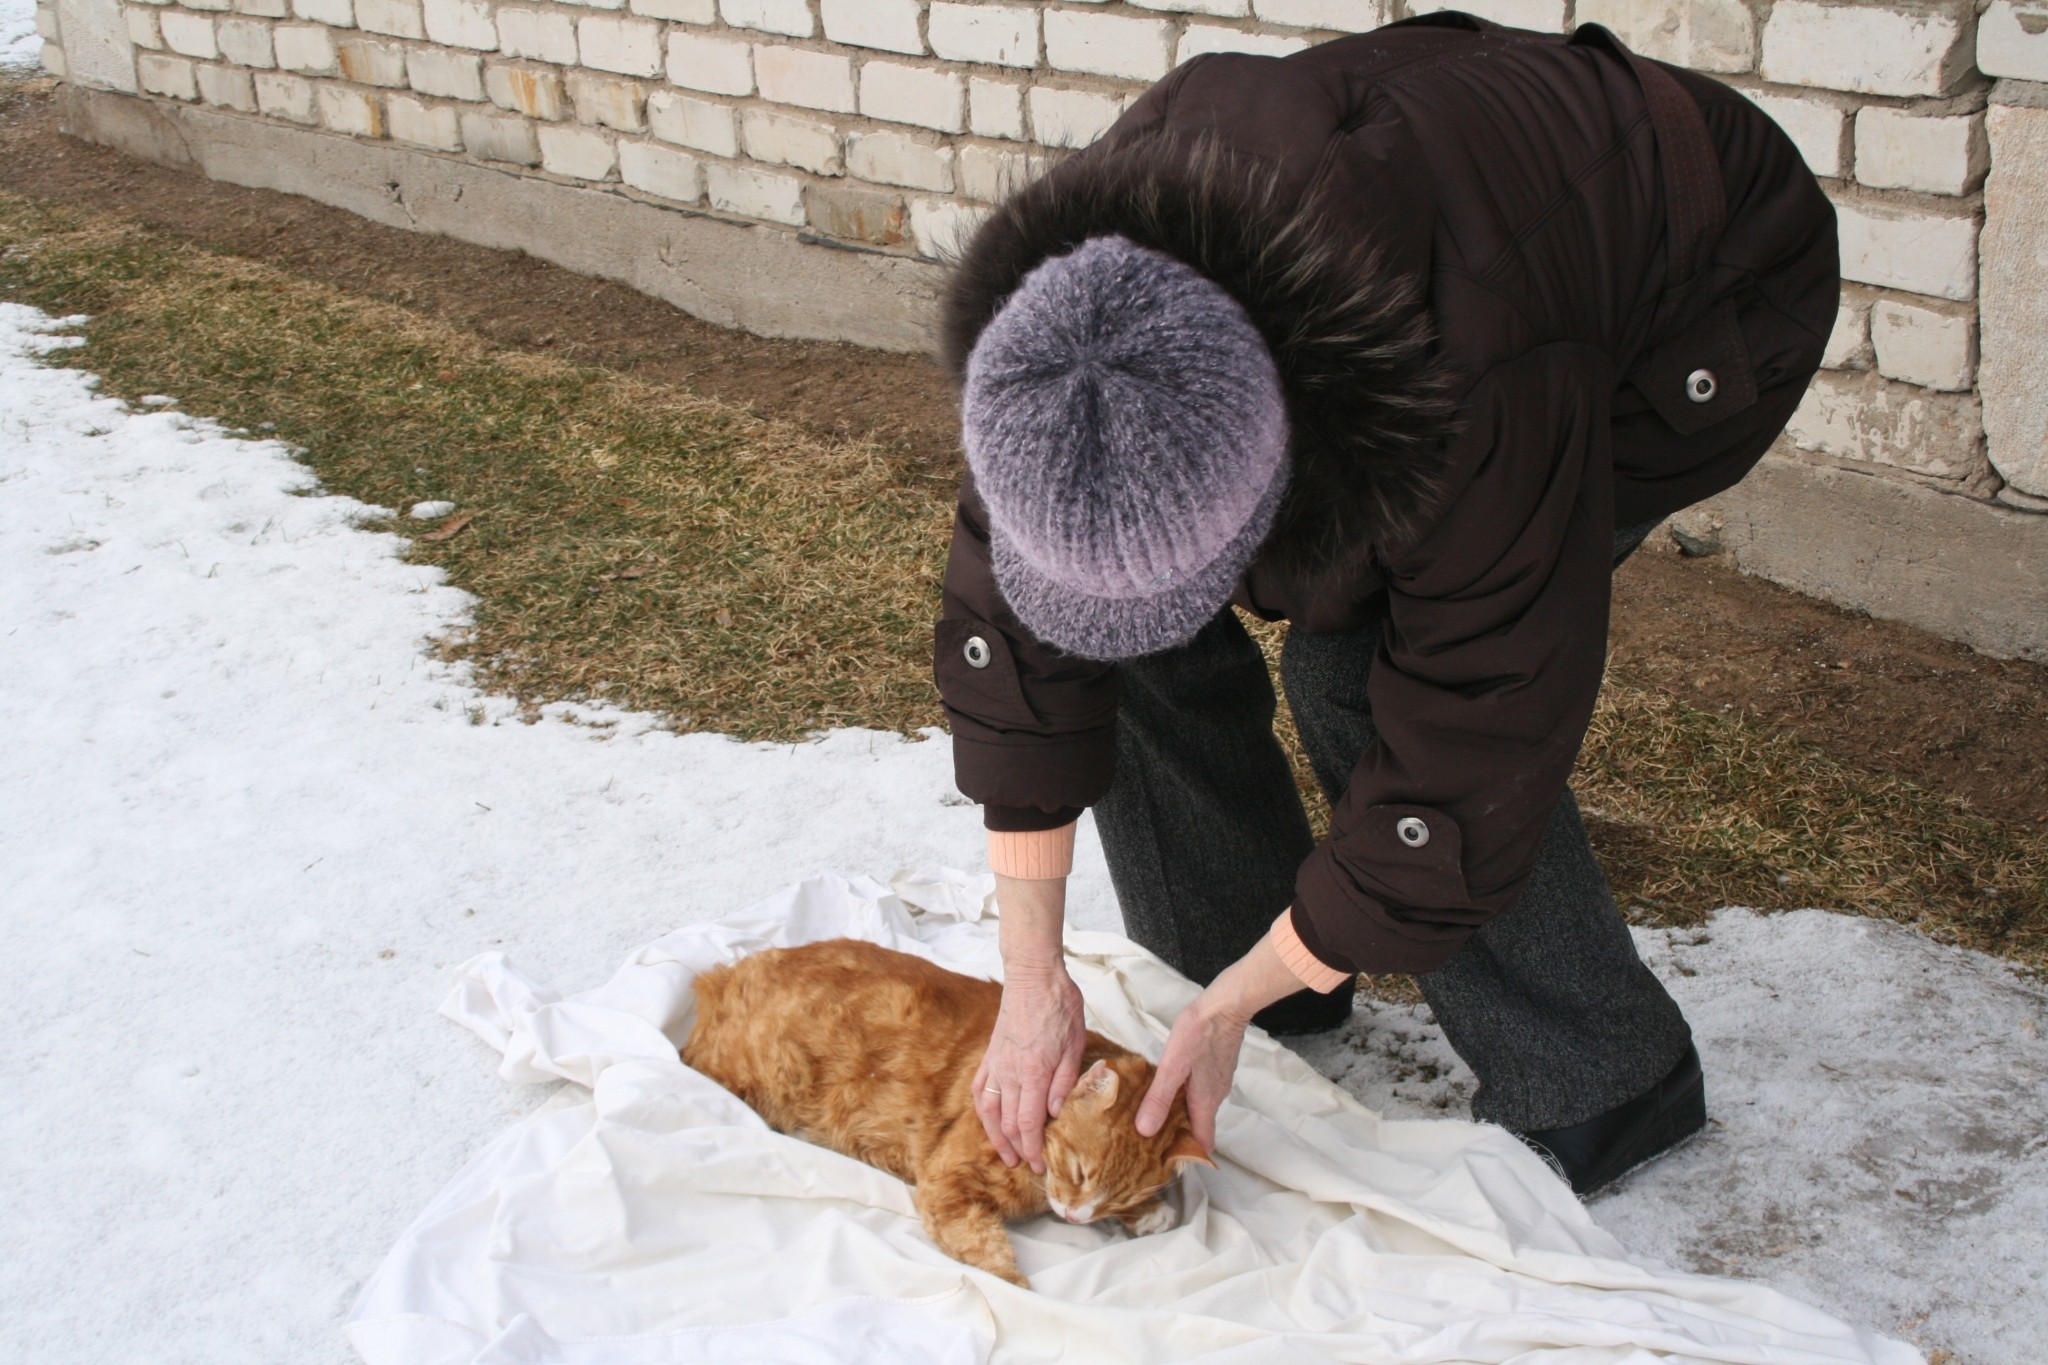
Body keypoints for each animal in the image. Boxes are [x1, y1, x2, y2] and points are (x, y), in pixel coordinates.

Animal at [688, 941, 1204, 1293]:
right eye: (1079, 1170)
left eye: (1120, 1197)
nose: (1076, 1217)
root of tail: (722, 977)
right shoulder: (946, 1184)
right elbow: (986, 1251)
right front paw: (1020, 1291)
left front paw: (1147, 1214)